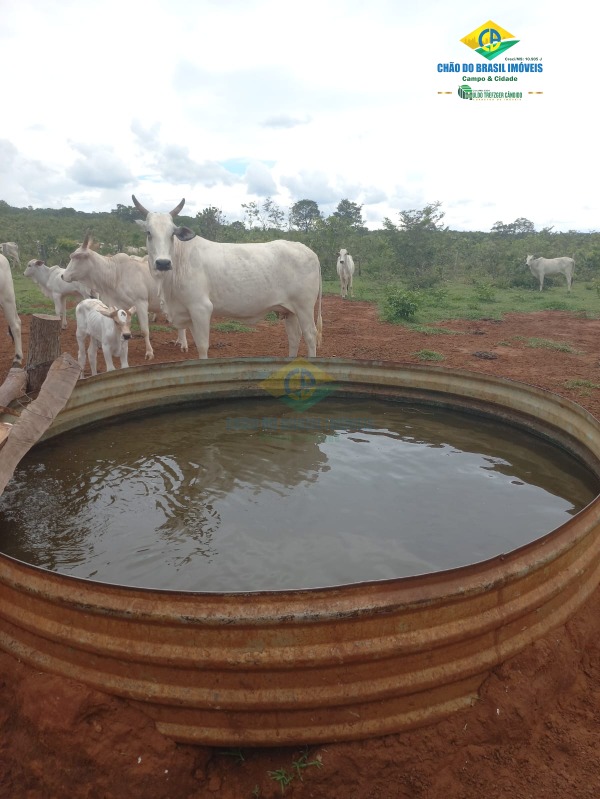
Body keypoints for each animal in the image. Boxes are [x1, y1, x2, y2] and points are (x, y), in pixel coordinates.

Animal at [132, 194, 324, 360]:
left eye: (172, 233)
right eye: (148, 232)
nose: (163, 263)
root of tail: (309, 251)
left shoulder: (201, 308)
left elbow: (202, 346)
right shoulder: (189, 313)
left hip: (304, 307)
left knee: (310, 335)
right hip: (289, 310)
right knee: (294, 337)